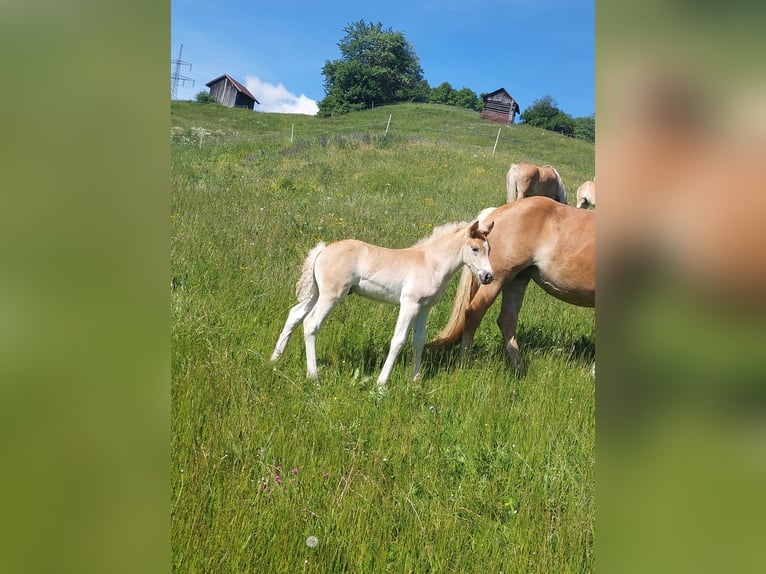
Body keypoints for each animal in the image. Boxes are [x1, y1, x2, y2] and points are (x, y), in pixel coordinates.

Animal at [272, 220, 498, 392]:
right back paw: (314, 376)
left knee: (294, 314)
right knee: (311, 323)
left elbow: (419, 341)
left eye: (490, 249)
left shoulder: (424, 308)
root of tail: (323, 250)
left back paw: (275, 360)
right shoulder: (409, 305)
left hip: (316, 293)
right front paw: (381, 384)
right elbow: (398, 341)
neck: (431, 263)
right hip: (331, 295)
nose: (488, 276)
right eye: (475, 249)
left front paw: (415, 380)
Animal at [428, 197, 596, 368]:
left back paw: (519, 368)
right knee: (473, 314)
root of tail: (495, 212)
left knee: (507, 322)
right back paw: (463, 362)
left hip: (516, 281)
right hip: (496, 280)